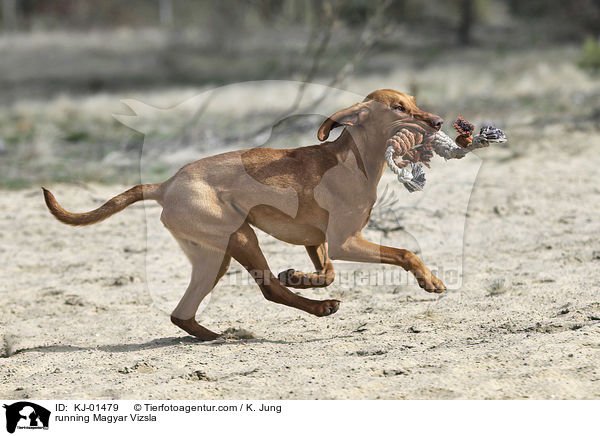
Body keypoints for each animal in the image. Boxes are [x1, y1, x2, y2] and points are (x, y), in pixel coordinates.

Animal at [43, 88, 446, 340]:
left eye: (413, 101)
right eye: (399, 108)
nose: (439, 122)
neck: (354, 159)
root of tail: (166, 184)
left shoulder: (318, 242)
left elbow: (326, 273)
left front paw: (299, 276)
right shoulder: (345, 242)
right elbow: (405, 253)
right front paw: (430, 281)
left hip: (213, 258)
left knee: (181, 313)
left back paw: (217, 337)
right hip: (241, 236)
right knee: (268, 288)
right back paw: (319, 309)